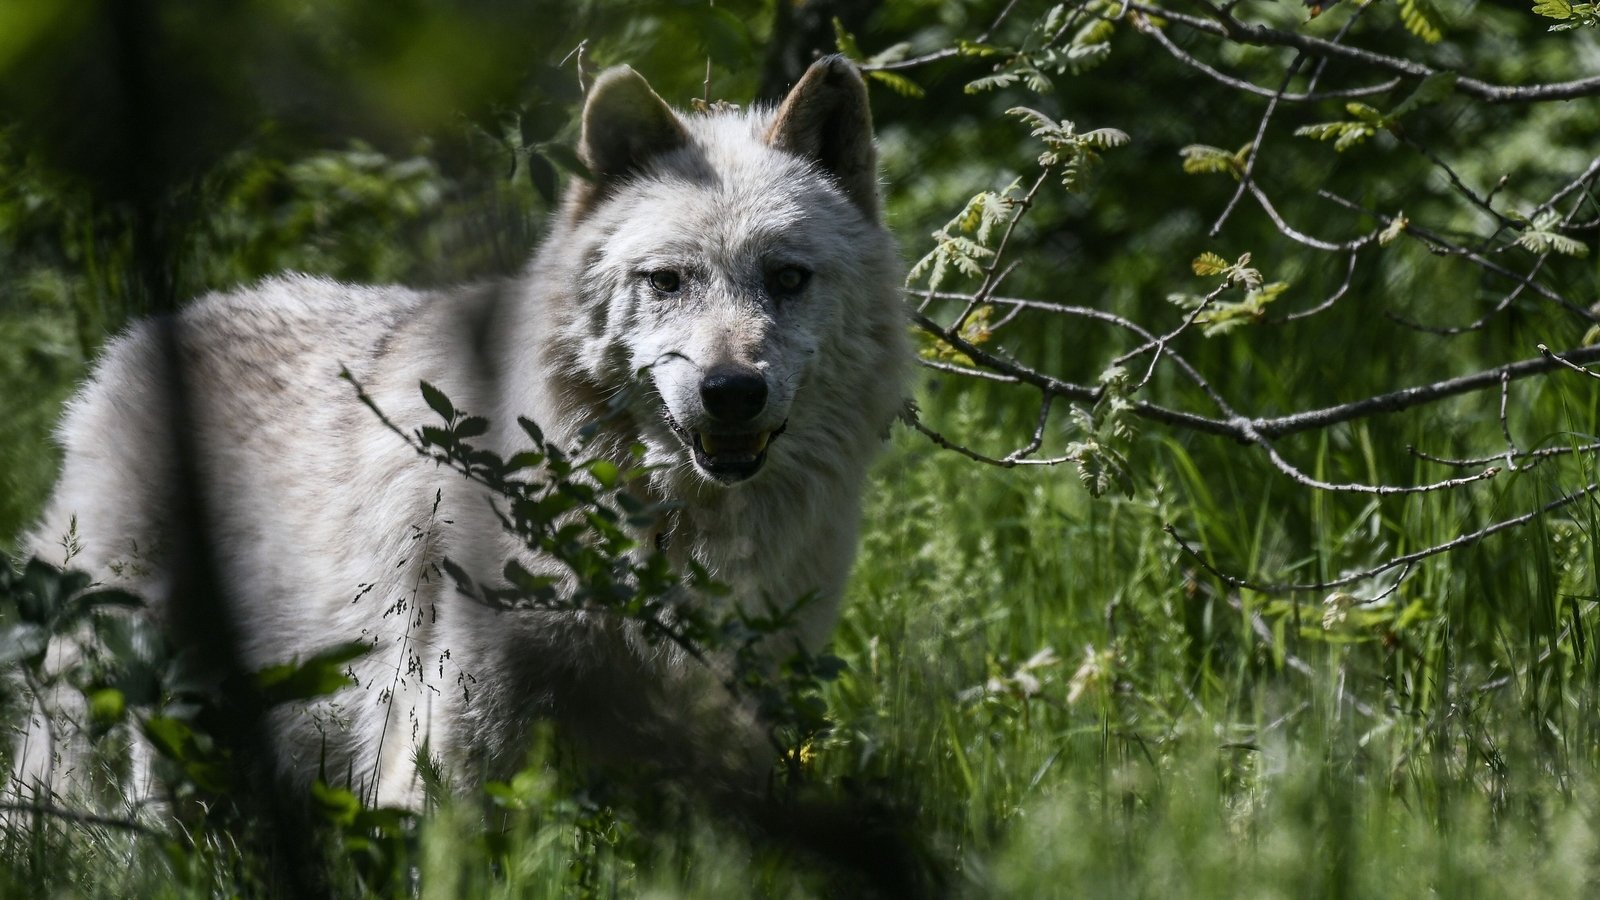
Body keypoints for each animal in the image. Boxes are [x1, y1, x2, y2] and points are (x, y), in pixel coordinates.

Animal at [12, 56, 909, 811]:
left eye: (787, 278)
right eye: (668, 281)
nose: (731, 392)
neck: (661, 530)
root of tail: (144, 337)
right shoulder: (451, 731)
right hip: (114, 674)